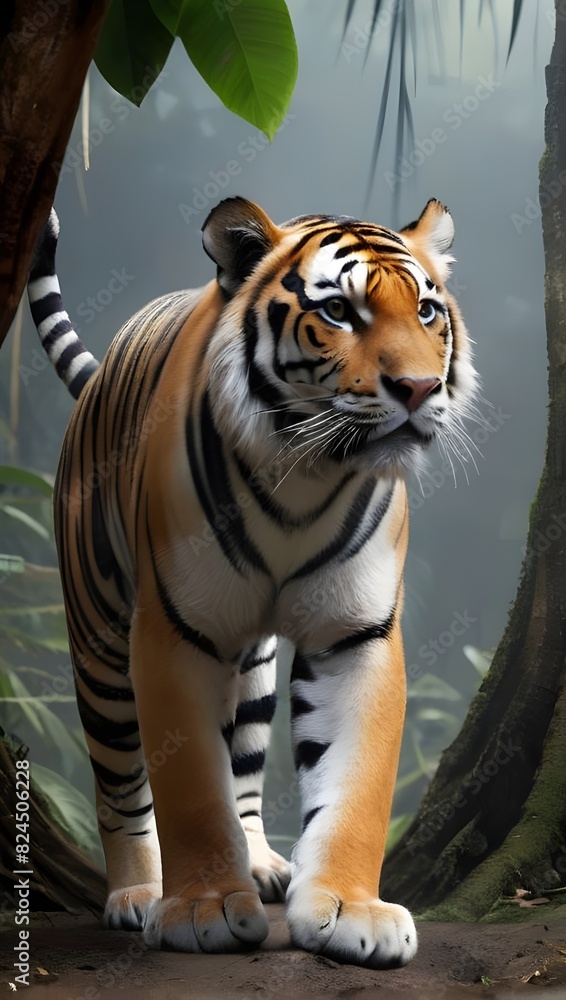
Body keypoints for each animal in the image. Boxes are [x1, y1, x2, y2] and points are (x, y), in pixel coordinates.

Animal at [27, 196, 477, 967]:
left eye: (425, 310)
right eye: (340, 312)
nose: (418, 390)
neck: (307, 472)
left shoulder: (355, 634)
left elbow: (354, 785)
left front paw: (351, 911)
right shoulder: (174, 632)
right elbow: (189, 787)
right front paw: (202, 908)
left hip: (256, 663)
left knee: (243, 760)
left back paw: (262, 863)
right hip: (100, 646)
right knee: (119, 783)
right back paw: (137, 893)